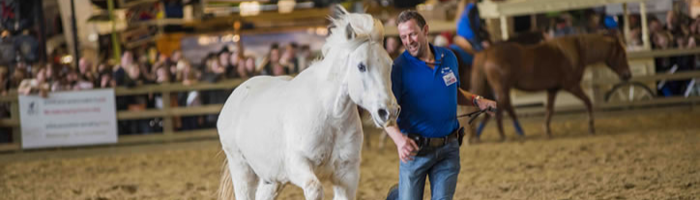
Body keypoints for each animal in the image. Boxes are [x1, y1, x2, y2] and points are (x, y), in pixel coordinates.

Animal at [216, 5, 396, 199]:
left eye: (390, 65)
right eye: (361, 66)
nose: (389, 112)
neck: (331, 116)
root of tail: (236, 94)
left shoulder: (347, 176)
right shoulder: (297, 165)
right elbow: (314, 187)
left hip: (271, 180)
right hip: (242, 169)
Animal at [470, 34, 636, 141]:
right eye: (622, 54)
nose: (627, 75)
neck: (576, 52)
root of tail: (487, 52)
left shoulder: (552, 90)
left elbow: (549, 110)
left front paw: (547, 131)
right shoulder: (571, 86)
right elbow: (588, 102)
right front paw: (591, 127)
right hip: (502, 89)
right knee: (498, 111)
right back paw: (500, 136)